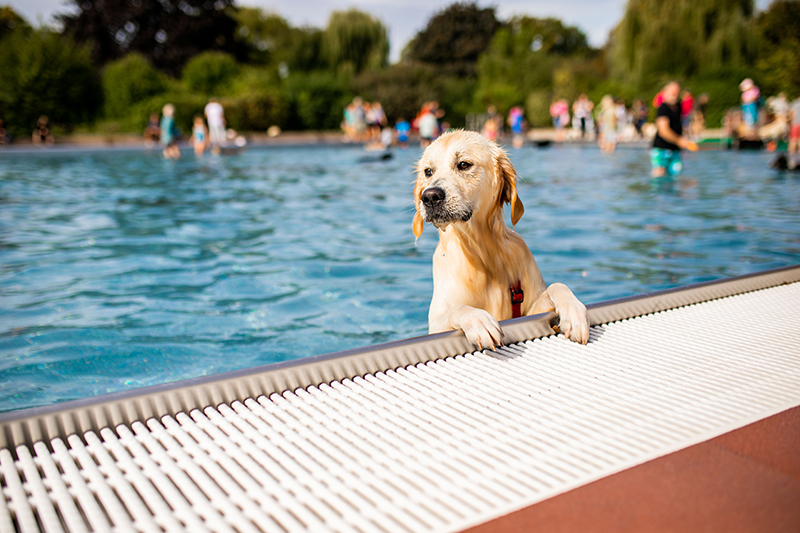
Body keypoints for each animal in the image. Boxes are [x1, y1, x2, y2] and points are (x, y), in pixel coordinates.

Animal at [416, 130, 592, 350]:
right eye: (428, 171)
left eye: (464, 164)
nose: (430, 197)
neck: (483, 253)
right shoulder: (437, 323)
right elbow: (456, 309)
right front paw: (478, 320)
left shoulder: (529, 309)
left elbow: (557, 286)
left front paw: (574, 311)